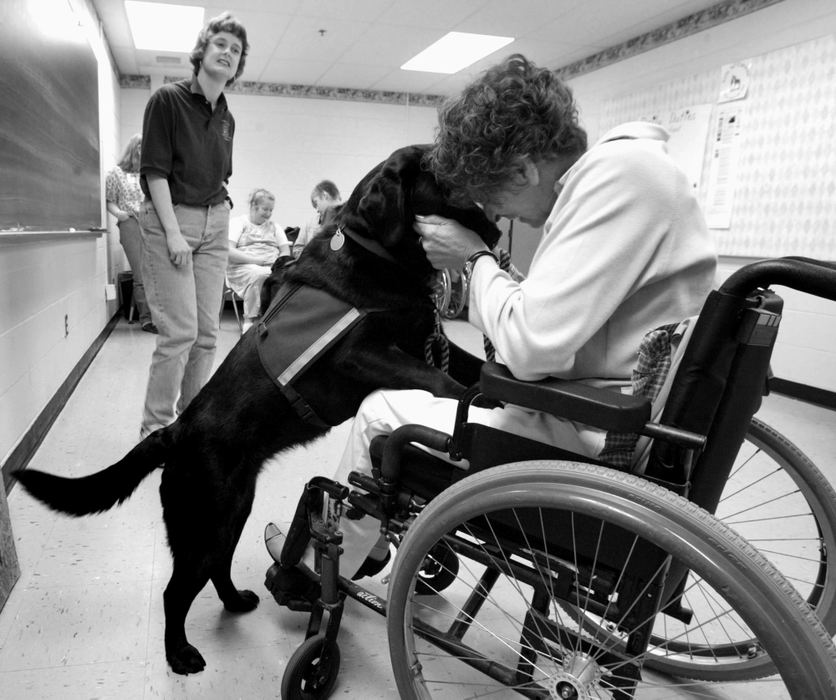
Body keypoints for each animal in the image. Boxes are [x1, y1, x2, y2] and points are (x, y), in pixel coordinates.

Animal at [13, 145, 500, 676]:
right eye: (448, 176)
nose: (497, 232)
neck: (377, 255)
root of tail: (174, 432)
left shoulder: (425, 339)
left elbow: (471, 368)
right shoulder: (362, 353)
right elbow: (442, 381)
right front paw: (476, 412)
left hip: (233, 510)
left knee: (216, 569)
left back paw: (237, 601)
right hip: (203, 522)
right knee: (175, 591)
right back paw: (180, 653)